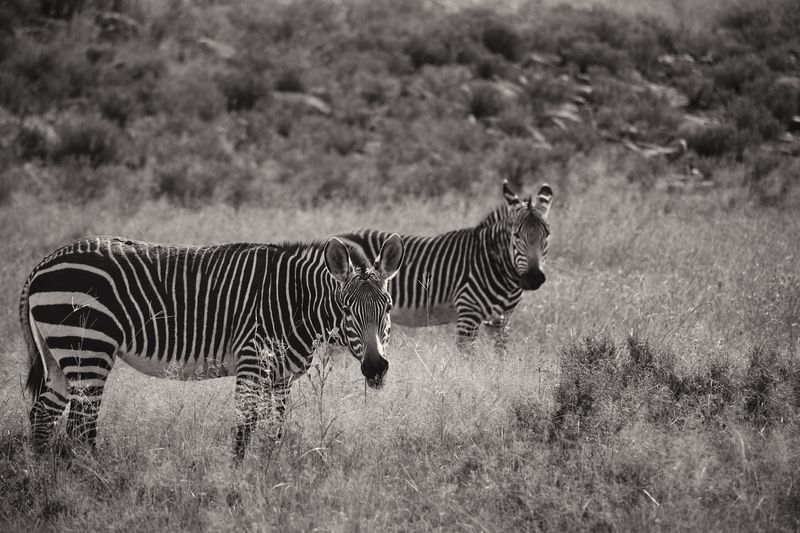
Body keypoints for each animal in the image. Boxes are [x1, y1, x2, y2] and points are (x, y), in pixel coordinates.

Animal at [20, 234, 404, 458]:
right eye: (346, 310)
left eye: (387, 308)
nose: (375, 369)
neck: (295, 303)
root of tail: (42, 264)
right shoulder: (252, 362)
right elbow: (243, 428)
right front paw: (238, 480)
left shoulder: (280, 377)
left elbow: (274, 431)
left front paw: (271, 474)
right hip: (88, 348)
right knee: (80, 423)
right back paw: (92, 473)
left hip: (61, 355)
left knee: (43, 415)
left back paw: (47, 477)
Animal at [337, 181, 552, 349]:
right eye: (516, 236)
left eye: (547, 235)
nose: (533, 278)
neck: (495, 264)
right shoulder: (468, 313)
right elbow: (468, 362)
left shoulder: (500, 320)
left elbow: (500, 359)